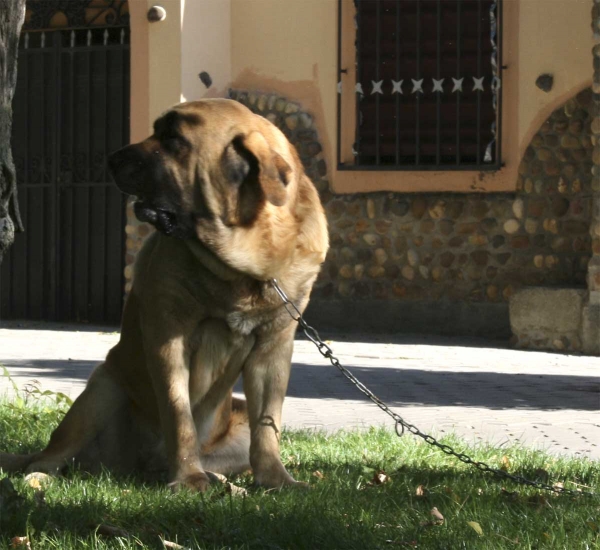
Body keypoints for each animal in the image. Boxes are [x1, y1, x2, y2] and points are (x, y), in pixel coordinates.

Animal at [0, 99, 328, 492]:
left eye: (173, 140)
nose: (112, 158)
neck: (241, 262)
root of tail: (134, 468)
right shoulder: (168, 338)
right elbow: (178, 413)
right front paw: (188, 479)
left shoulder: (273, 349)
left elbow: (268, 425)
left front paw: (276, 480)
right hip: (101, 391)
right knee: (54, 458)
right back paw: (39, 478)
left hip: (233, 420)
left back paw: (220, 479)